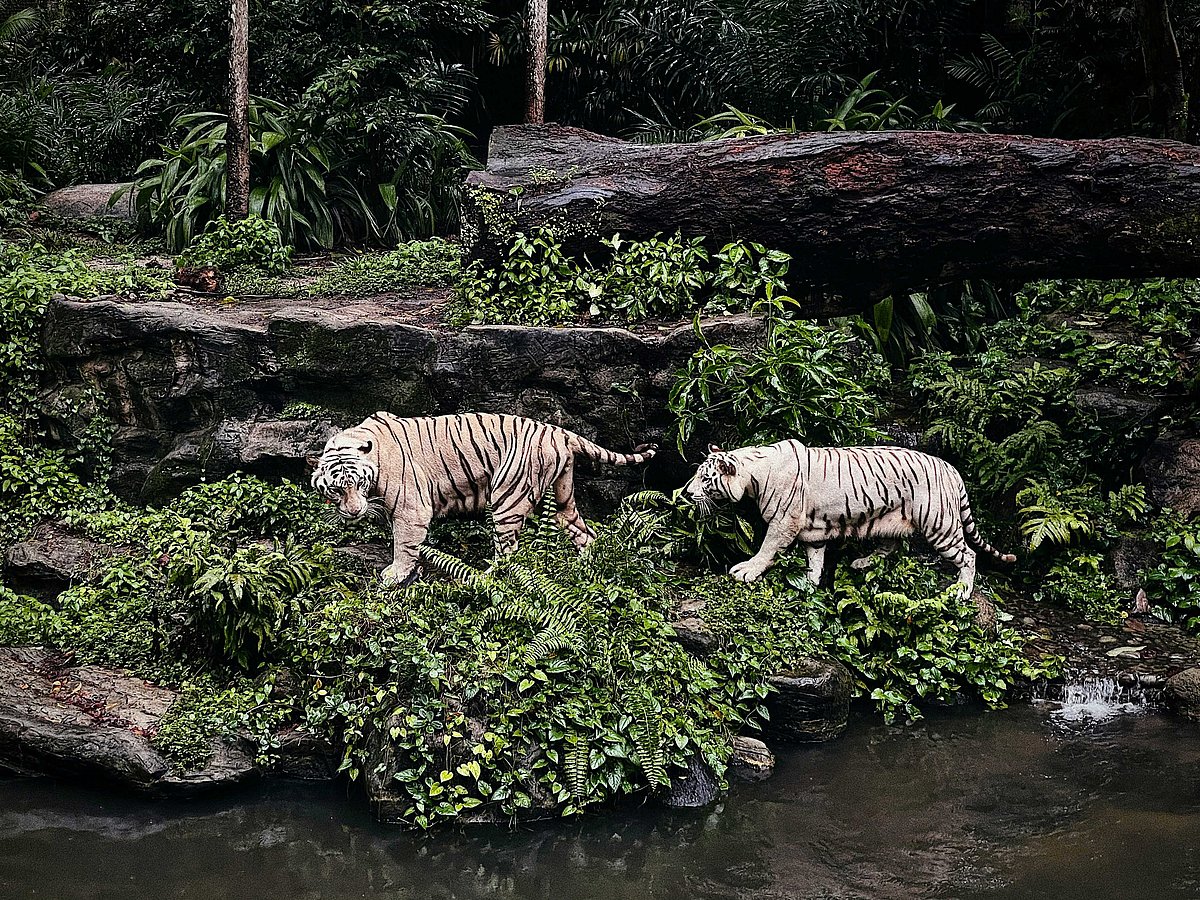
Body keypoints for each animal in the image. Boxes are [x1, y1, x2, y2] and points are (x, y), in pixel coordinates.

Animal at [309, 412, 658, 585]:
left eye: (359, 483)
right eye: (336, 489)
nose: (354, 512)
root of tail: (558, 431)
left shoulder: (411, 510)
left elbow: (404, 545)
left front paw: (395, 574)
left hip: (507, 499)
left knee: (509, 553)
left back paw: (480, 578)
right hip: (562, 497)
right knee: (583, 532)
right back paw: (585, 566)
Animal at [682, 440, 1016, 596]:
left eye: (706, 478)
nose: (685, 492)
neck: (753, 473)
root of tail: (951, 469)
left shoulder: (783, 523)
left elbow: (767, 549)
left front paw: (746, 571)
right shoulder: (812, 530)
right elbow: (815, 558)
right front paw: (810, 584)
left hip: (939, 524)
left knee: (969, 555)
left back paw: (962, 591)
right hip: (891, 519)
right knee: (891, 546)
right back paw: (862, 562)